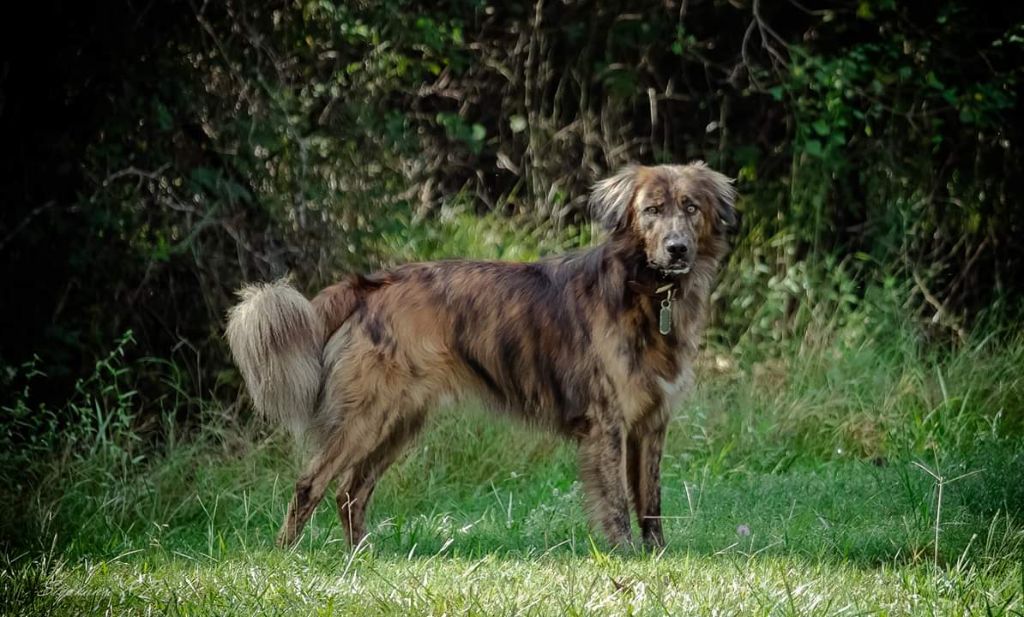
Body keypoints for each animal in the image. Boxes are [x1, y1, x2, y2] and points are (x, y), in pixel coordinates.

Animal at [226, 162, 737, 549]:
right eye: (651, 210)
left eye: (690, 208)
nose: (677, 249)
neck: (645, 291)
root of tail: (372, 284)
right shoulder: (606, 421)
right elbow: (615, 502)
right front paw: (625, 555)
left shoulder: (651, 422)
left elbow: (650, 501)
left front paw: (658, 555)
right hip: (365, 418)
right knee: (311, 483)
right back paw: (286, 555)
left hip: (399, 422)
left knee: (352, 492)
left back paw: (363, 557)